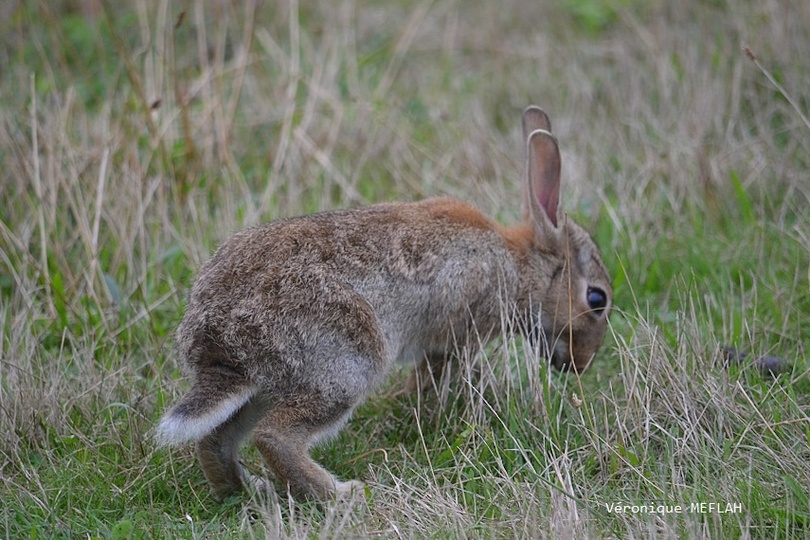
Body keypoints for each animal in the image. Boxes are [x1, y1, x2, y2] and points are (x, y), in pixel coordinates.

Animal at [156, 105, 612, 502]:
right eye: (597, 298)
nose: (581, 363)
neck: (517, 265)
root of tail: (216, 339)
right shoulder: (456, 333)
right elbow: (439, 374)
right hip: (347, 363)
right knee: (274, 437)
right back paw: (342, 495)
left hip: (262, 387)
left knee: (216, 439)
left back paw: (248, 491)